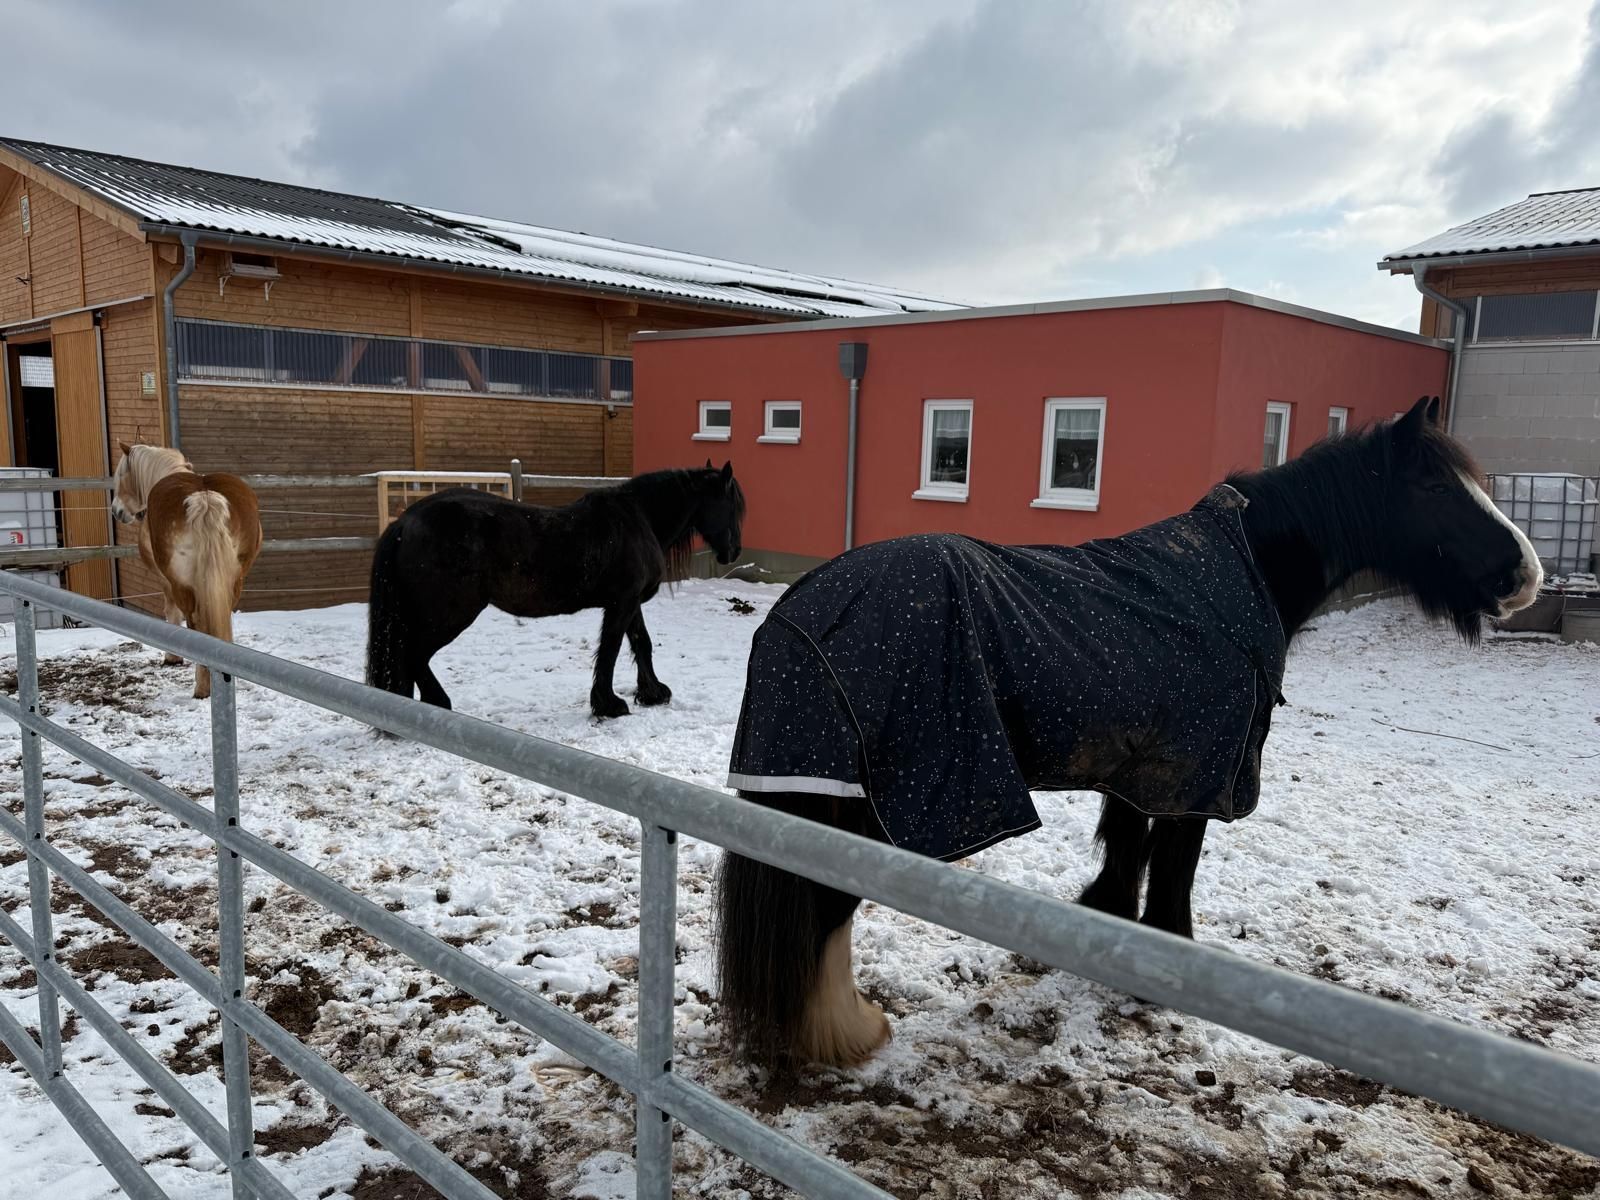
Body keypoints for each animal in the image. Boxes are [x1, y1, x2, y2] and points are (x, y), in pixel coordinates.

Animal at [110, 442, 263, 700]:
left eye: (121, 474)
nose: (116, 511)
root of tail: (204, 498)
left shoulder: (166, 581)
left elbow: (171, 613)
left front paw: (172, 657)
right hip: (233, 582)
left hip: (184, 586)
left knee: (195, 625)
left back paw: (202, 687)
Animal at [365, 462, 745, 718]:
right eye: (731, 506)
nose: (734, 551)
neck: (638, 520)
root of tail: (405, 523)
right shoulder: (621, 604)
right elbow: (610, 651)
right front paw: (608, 705)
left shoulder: (630, 603)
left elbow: (642, 644)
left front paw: (652, 693)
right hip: (448, 615)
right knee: (414, 655)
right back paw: (440, 705)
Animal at [715, 396, 1541, 1070]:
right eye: (1435, 487)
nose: (1524, 574)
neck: (1239, 572)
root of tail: (798, 615)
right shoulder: (1200, 771)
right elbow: (1174, 866)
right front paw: (1169, 968)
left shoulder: (1142, 764)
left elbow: (1126, 848)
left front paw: (1108, 930)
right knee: (820, 912)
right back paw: (845, 1033)